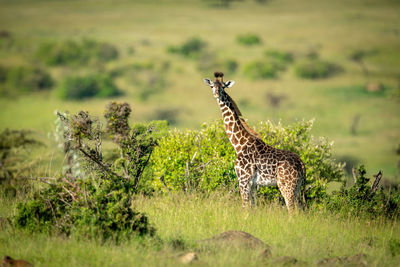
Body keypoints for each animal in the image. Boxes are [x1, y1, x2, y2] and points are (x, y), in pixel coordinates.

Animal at [205, 72, 304, 215]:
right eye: (212, 86)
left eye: (223, 87)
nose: (217, 94)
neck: (239, 144)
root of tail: (301, 164)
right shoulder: (253, 184)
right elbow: (252, 207)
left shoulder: (243, 179)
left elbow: (244, 206)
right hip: (297, 187)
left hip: (286, 186)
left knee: (291, 211)